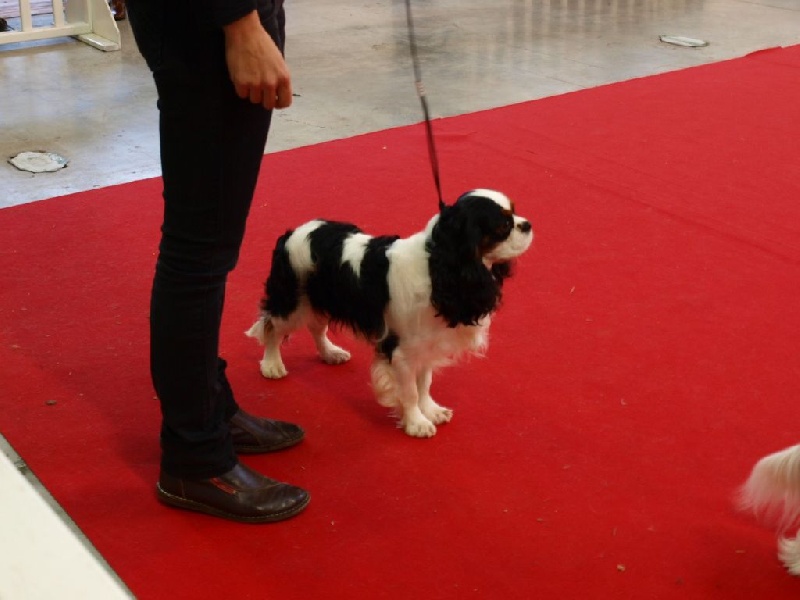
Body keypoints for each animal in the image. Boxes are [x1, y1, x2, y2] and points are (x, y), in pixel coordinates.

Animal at [244, 188, 532, 436]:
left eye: (515, 213)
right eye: (503, 226)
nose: (527, 224)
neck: (438, 266)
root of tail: (292, 232)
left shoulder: (425, 345)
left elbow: (424, 383)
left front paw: (431, 411)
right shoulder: (401, 350)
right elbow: (411, 391)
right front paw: (417, 423)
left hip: (320, 297)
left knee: (316, 326)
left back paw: (329, 353)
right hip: (292, 300)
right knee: (272, 327)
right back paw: (272, 364)